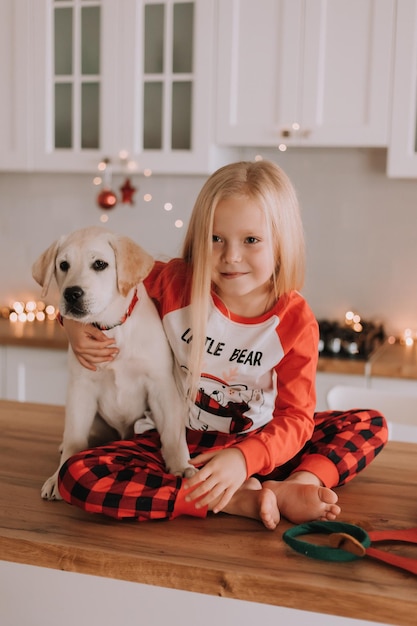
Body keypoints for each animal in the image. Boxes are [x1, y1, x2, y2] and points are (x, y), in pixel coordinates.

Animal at [33, 224, 195, 498]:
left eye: (100, 264)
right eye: (63, 265)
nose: (71, 294)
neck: (110, 329)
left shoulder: (161, 384)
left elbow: (173, 434)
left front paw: (181, 467)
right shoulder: (81, 388)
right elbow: (75, 436)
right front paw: (58, 477)